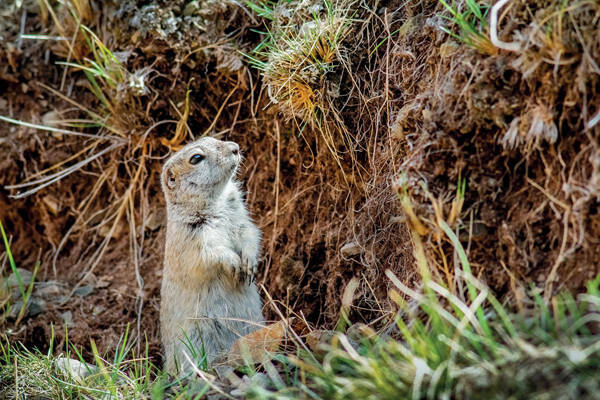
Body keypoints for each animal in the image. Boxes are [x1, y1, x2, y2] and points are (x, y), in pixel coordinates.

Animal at [159, 137, 262, 376]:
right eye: (196, 158)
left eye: (213, 139)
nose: (235, 148)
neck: (217, 202)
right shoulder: (198, 239)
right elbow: (213, 255)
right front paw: (235, 264)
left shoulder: (241, 219)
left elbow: (250, 235)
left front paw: (249, 264)